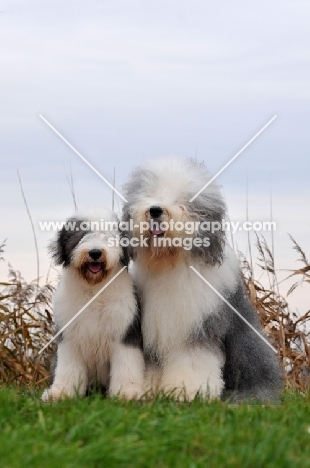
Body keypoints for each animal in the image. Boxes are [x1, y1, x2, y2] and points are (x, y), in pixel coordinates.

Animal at [41, 209, 145, 402]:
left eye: (109, 236)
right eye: (82, 235)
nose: (95, 252)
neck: (94, 289)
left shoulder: (125, 331)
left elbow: (126, 364)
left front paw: (128, 393)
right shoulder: (70, 336)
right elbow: (68, 367)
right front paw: (61, 393)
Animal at [121, 157, 284, 402]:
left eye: (182, 202)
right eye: (149, 193)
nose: (156, 210)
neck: (171, 263)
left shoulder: (199, 325)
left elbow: (192, 359)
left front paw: (187, 390)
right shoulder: (154, 328)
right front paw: (149, 390)